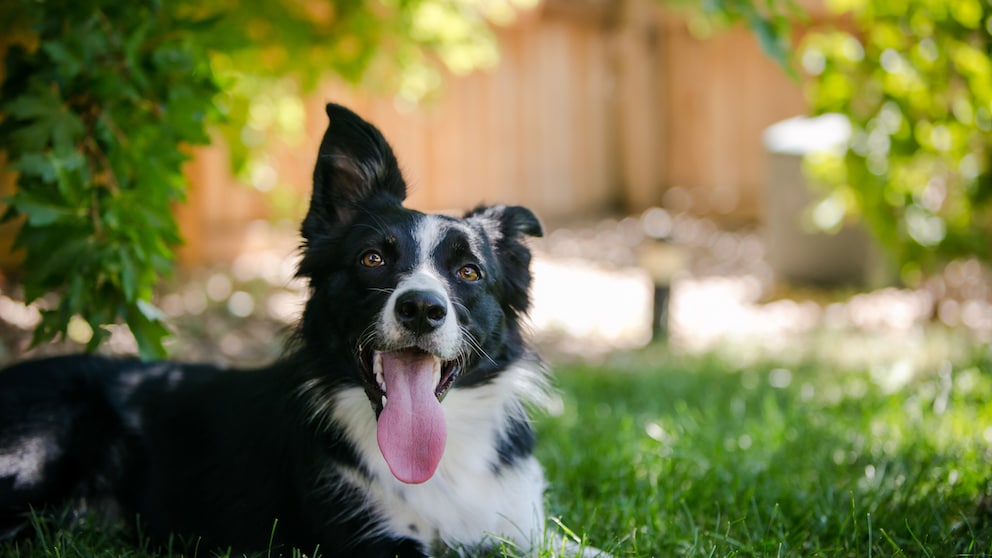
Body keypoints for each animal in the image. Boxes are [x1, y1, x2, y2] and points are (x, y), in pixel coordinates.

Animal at [0, 104, 568, 556]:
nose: (422, 309)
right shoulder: (368, 540)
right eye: (373, 258)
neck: (442, 460)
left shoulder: (524, 529)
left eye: (469, 272)